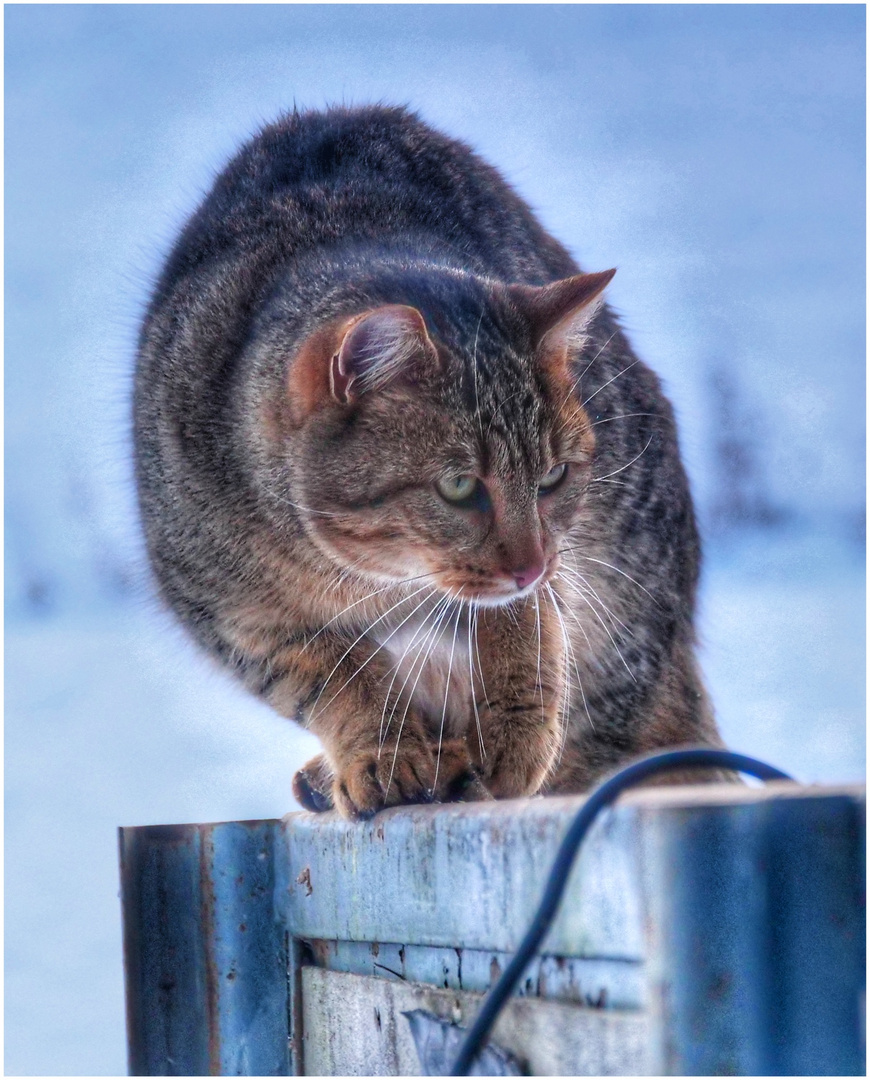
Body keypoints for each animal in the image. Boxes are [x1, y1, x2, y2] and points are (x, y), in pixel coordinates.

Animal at [134, 107, 721, 816]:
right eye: (459, 486)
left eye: (553, 476)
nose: (529, 565)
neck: (374, 579)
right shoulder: (235, 616)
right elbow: (339, 678)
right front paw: (382, 753)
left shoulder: (552, 570)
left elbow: (525, 632)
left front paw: (515, 733)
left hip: (629, 612)